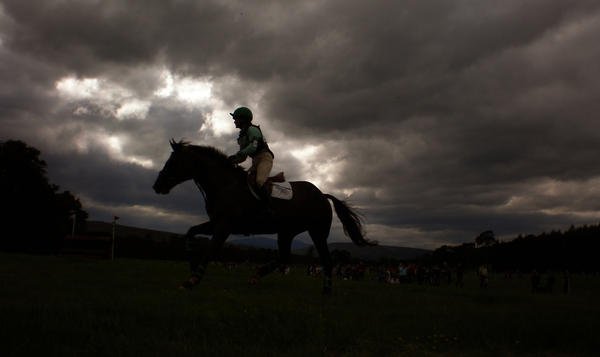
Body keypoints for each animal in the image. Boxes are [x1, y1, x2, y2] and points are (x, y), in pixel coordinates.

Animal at [151, 139, 376, 292]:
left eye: (173, 162)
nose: (157, 186)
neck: (224, 184)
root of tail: (322, 195)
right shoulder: (216, 223)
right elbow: (190, 232)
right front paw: (191, 265)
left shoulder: (224, 226)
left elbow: (210, 251)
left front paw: (192, 280)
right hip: (287, 232)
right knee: (284, 257)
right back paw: (256, 275)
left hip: (317, 233)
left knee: (326, 262)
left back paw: (326, 292)